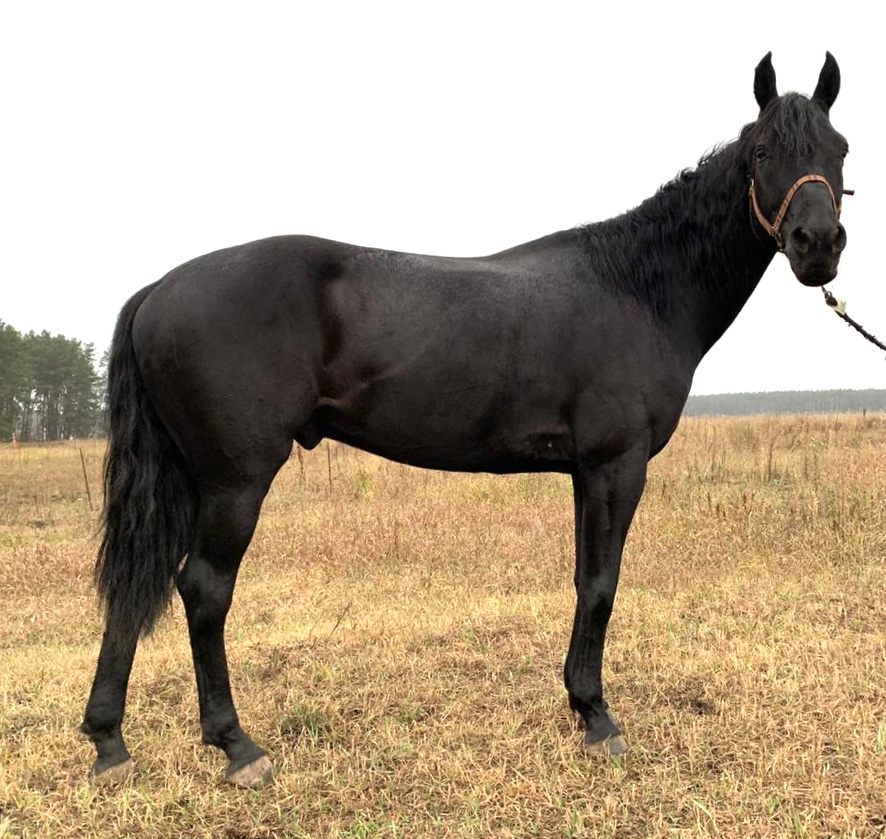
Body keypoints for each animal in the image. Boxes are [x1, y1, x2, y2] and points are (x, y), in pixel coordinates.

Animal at [81, 52, 850, 787]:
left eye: (840, 148)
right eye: (762, 151)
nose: (818, 243)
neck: (637, 288)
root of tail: (160, 289)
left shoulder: (585, 471)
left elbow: (585, 580)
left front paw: (580, 703)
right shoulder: (616, 464)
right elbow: (602, 585)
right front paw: (598, 718)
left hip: (188, 480)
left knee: (136, 586)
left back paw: (110, 743)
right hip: (235, 481)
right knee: (204, 590)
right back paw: (237, 746)